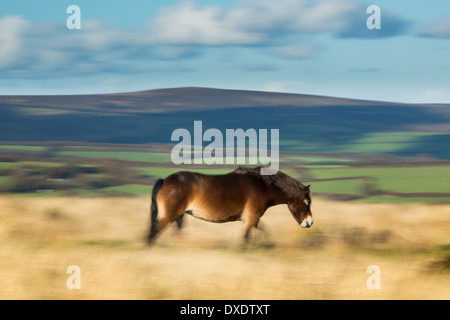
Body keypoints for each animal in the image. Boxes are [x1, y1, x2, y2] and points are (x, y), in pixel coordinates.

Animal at [148, 166, 312, 244]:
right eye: (307, 202)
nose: (309, 222)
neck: (262, 185)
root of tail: (165, 180)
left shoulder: (253, 219)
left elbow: (265, 231)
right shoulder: (251, 218)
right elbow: (245, 239)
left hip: (179, 216)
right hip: (168, 216)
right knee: (152, 233)